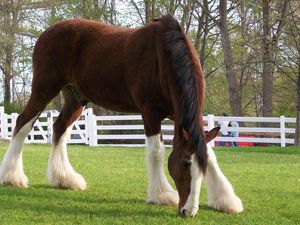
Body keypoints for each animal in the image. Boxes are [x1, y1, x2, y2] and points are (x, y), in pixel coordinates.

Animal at [0, 14, 243, 218]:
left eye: (201, 168)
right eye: (184, 164)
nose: (188, 212)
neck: (164, 57)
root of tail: (47, 33)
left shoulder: (180, 116)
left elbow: (209, 152)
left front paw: (225, 200)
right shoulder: (150, 113)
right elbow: (156, 152)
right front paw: (162, 194)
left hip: (75, 98)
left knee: (60, 128)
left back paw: (65, 179)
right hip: (44, 88)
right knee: (22, 125)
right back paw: (12, 177)